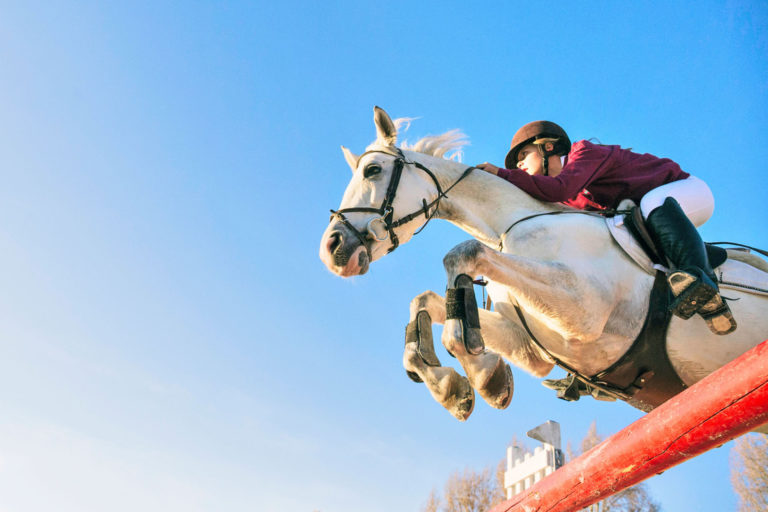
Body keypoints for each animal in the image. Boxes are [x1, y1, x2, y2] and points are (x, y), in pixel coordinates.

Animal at [318, 107, 768, 420]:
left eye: (373, 170)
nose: (332, 249)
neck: (511, 227)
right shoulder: (533, 345)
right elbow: (424, 303)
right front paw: (462, 386)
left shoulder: (585, 309)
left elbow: (462, 256)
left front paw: (481, 376)